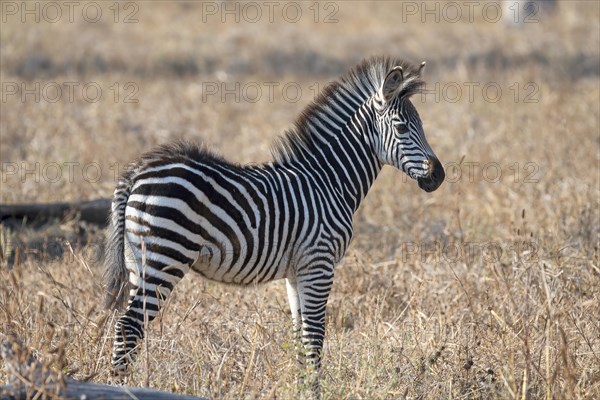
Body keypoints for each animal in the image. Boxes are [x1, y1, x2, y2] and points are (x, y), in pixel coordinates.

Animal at [104, 55, 446, 394]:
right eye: (402, 127)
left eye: (422, 125)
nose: (439, 176)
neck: (329, 181)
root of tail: (137, 170)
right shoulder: (319, 264)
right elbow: (314, 336)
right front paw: (313, 392)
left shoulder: (297, 272)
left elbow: (299, 336)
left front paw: (300, 389)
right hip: (165, 257)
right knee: (129, 326)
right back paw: (119, 386)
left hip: (138, 262)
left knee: (126, 326)